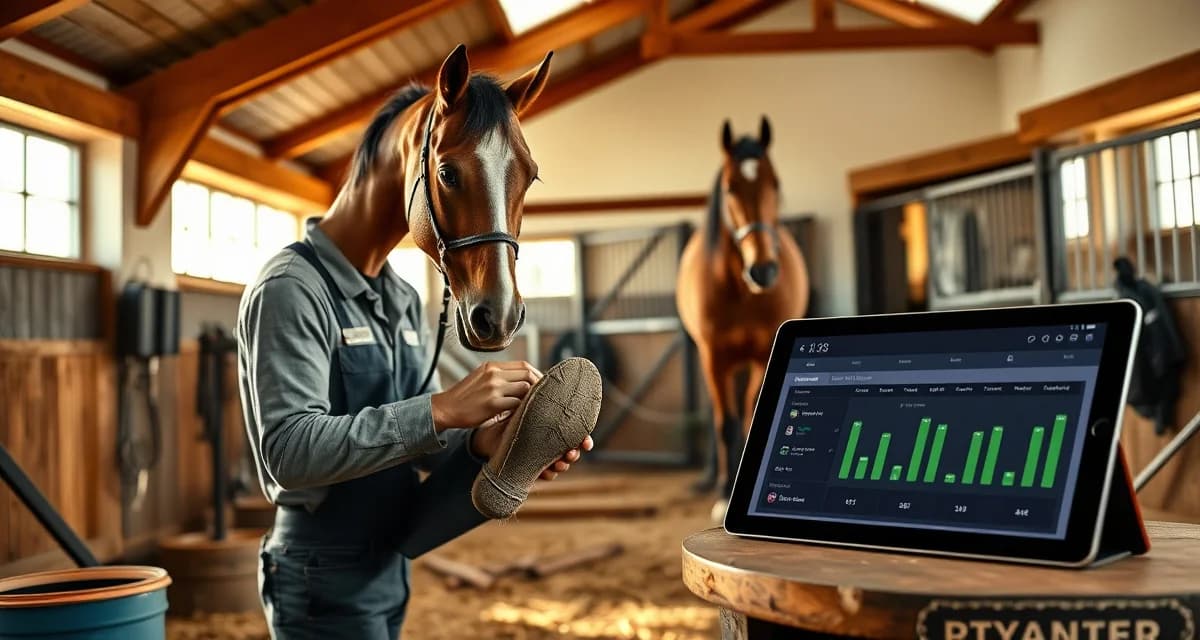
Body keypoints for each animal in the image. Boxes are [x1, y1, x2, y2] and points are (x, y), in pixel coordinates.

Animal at [676, 117, 810, 501]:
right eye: (731, 188)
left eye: (775, 183)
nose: (763, 270)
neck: (744, 294)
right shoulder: (714, 357)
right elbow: (726, 425)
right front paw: (723, 491)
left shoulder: (764, 355)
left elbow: (751, 419)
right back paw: (712, 477)